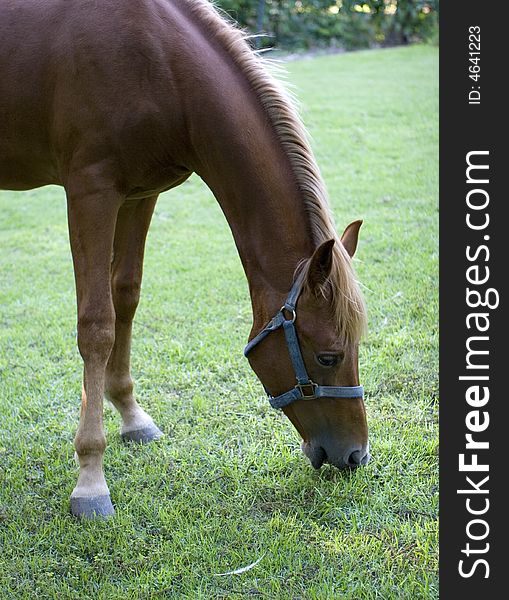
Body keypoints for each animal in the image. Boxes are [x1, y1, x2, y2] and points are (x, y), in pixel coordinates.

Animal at [0, 0, 370, 516]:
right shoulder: (91, 192)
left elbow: (126, 295)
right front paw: (91, 477)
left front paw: (131, 415)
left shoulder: (139, 194)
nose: (357, 455)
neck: (161, 66)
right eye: (329, 356)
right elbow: (96, 325)